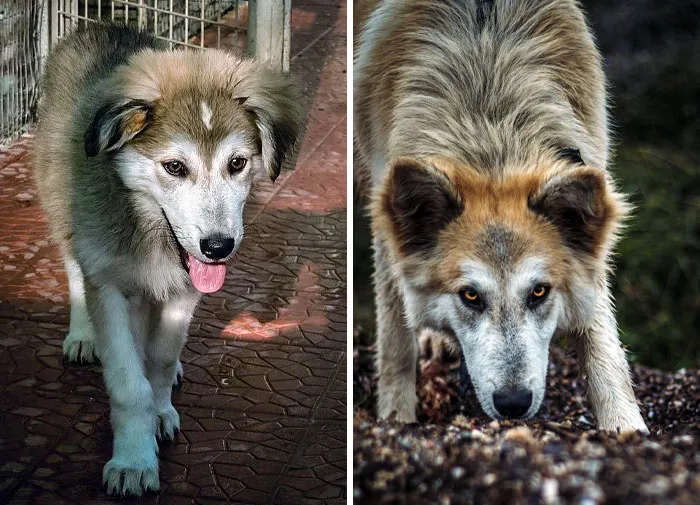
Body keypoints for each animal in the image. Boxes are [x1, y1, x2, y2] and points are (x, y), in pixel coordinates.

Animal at [33, 24, 302, 495]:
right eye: (174, 167)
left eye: (237, 163)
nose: (218, 247)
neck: (152, 232)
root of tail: (101, 26)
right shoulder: (108, 281)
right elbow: (128, 383)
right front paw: (133, 460)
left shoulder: (184, 291)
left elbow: (158, 357)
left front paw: (160, 409)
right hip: (62, 204)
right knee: (72, 266)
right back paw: (82, 335)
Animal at [354, 0, 648, 433]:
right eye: (470, 296)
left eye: (539, 292)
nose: (513, 404)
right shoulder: (385, 215)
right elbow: (395, 338)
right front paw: (396, 419)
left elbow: (601, 339)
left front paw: (625, 428)